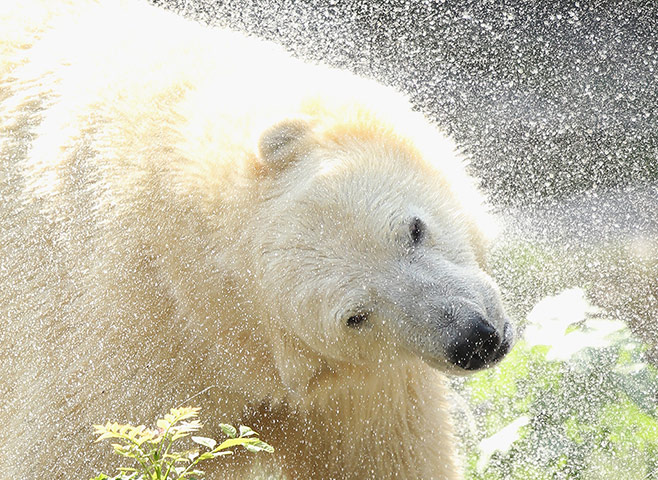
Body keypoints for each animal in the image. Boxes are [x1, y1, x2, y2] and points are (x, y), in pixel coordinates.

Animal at [0, 1, 513, 479]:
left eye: (413, 229)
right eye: (356, 316)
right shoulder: (120, 354)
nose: (475, 338)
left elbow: (384, 453)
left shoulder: (366, 390)